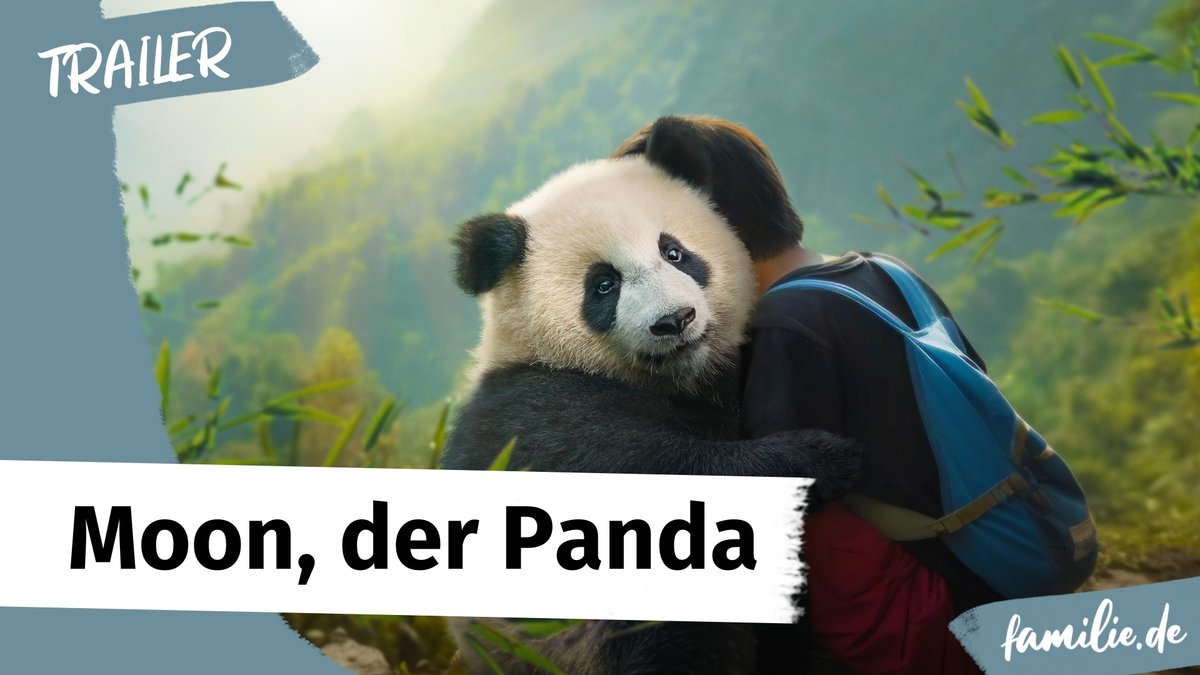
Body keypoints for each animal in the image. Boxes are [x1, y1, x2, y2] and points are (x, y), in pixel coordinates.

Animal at [440, 121, 862, 674]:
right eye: (603, 285)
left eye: (674, 252)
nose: (674, 320)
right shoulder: (528, 417)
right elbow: (647, 476)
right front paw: (820, 458)